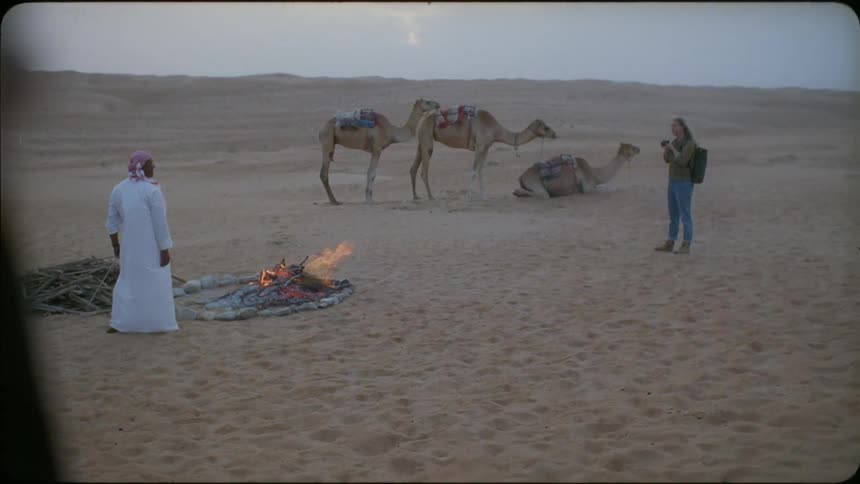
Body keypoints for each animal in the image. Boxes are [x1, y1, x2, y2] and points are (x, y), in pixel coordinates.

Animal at [410, 107, 558, 200]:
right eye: (546, 127)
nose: (555, 134)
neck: (496, 130)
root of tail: (423, 118)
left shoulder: (486, 148)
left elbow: (481, 171)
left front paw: (484, 196)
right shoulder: (480, 146)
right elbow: (474, 171)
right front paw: (469, 196)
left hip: (421, 141)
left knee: (413, 168)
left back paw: (416, 196)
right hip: (426, 139)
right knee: (424, 170)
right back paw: (430, 197)